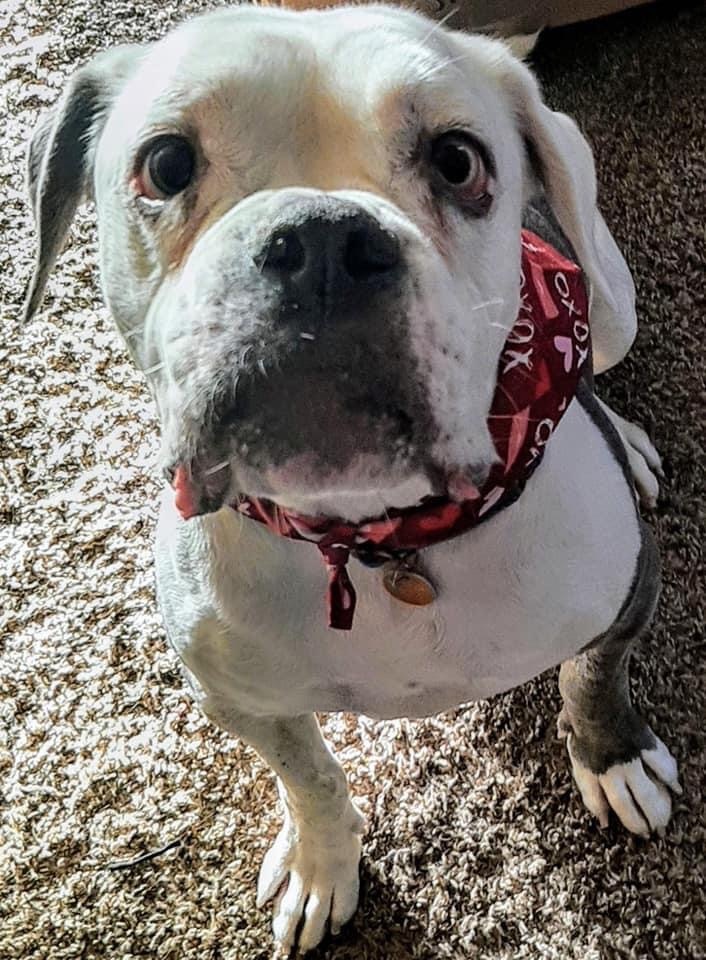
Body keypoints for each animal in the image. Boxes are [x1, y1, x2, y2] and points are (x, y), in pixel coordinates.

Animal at [24, 5, 680, 952]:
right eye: (167, 164)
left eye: (458, 161)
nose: (325, 243)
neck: (374, 535)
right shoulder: (236, 699)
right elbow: (311, 778)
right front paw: (320, 864)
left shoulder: (627, 596)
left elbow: (592, 679)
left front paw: (615, 758)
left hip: (611, 299)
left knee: (598, 354)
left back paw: (625, 437)